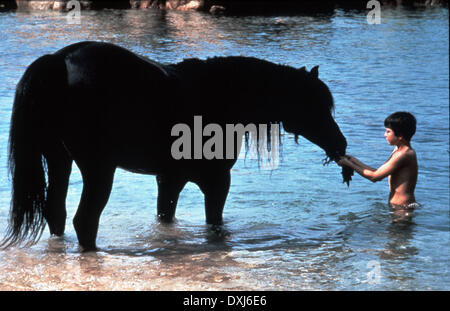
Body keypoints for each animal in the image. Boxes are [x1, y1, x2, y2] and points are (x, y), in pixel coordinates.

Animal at [1, 40, 352, 251]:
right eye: (315, 104)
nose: (340, 144)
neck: (223, 94)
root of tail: (58, 61)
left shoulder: (170, 179)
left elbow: (165, 217)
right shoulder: (216, 182)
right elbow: (214, 223)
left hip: (59, 159)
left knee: (56, 212)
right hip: (98, 169)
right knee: (84, 220)